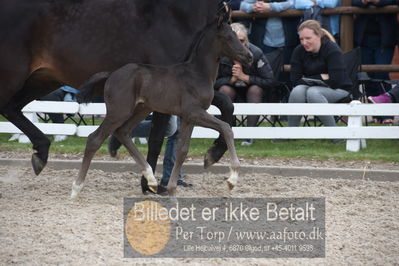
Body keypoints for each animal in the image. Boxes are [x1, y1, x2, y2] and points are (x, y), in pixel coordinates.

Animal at [0, 0, 233, 184]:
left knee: (11, 108)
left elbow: (227, 106)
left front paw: (213, 153)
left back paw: (41, 152)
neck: (177, 15)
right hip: (13, 77)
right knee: (9, 107)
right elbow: (156, 138)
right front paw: (148, 184)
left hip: (42, 79)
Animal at [76, 7, 253, 197]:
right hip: (119, 112)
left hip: (141, 110)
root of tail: (111, 74)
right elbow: (226, 128)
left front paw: (172, 188)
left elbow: (182, 151)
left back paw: (151, 179)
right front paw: (232, 179)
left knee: (122, 132)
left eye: (237, 36)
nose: (249, 56)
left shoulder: (188, 118)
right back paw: (76, 188)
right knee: (94, 139)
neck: (197, 74)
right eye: (228, 37)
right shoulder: (194, 112)